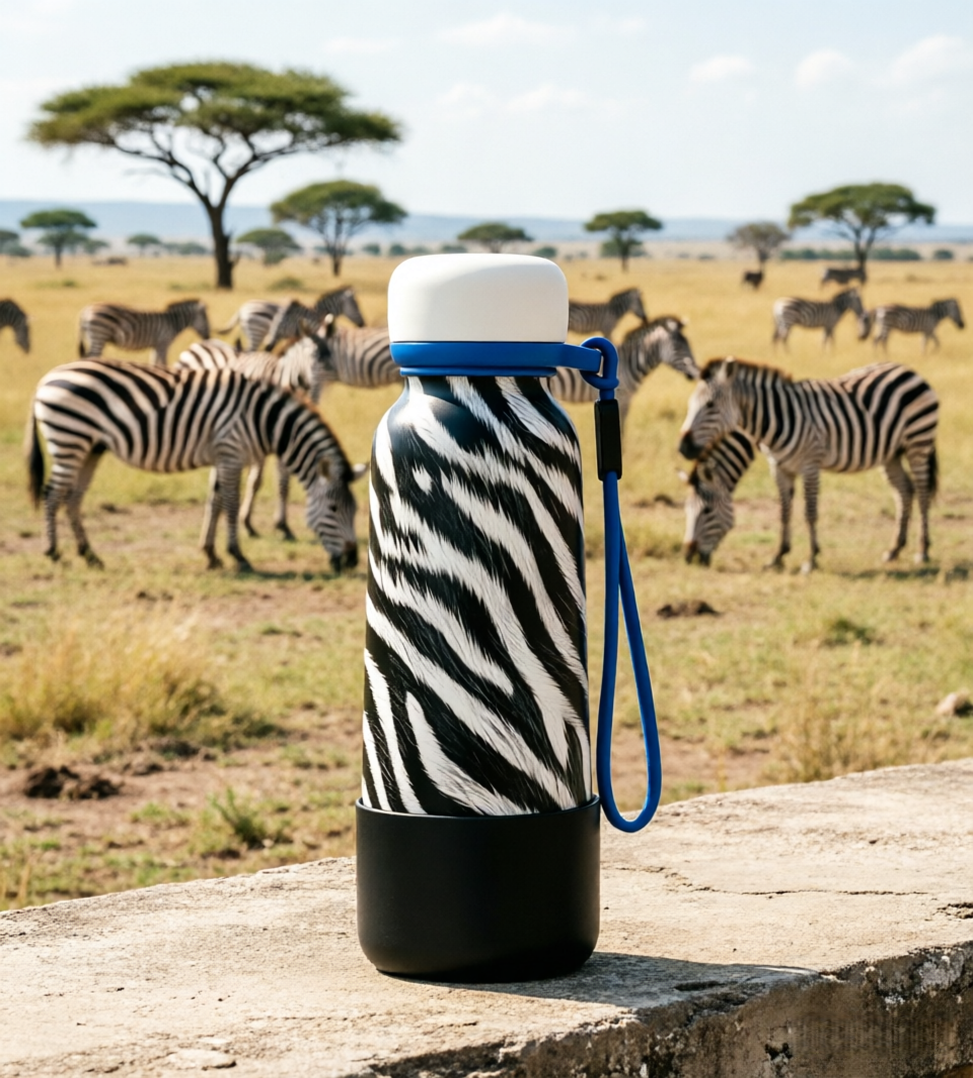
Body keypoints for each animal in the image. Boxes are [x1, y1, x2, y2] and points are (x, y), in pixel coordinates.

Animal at [27, 359, 364, 572]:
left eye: (356, 510)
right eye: (334, 509)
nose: (352, 562)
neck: (264, 420)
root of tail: (45, 379)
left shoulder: (223, 456)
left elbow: (214, 502)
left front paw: (211, 555)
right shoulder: (231, 453)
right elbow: (230, 503)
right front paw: (238, 556)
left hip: (91, 447)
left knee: (72, 498)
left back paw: (90, 555)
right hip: (70, 439)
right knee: (52, 493)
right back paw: (53, 552)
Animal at [78, 300, 210, 366]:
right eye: (205, 319)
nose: (208, 337)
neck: (172, 322)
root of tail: (86, 310)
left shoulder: (156, 345)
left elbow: (154, 363)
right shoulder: (163, 343)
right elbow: (164, 363)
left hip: (92, 337)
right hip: (99, 335)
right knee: (91, 357)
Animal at [175, 330, 334, 539]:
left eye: (329, 369)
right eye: (308, 366)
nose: (312, 402)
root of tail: (204, 343)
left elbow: (283, 481)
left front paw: (282, 525)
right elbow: (255, 481)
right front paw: (246, 522)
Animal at [547, 317, 699, 432]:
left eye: (689, 344)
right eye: (677, 348)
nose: (697, 373)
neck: (629, 363)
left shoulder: (628, 399)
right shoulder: (622, 397)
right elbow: (621, 428)